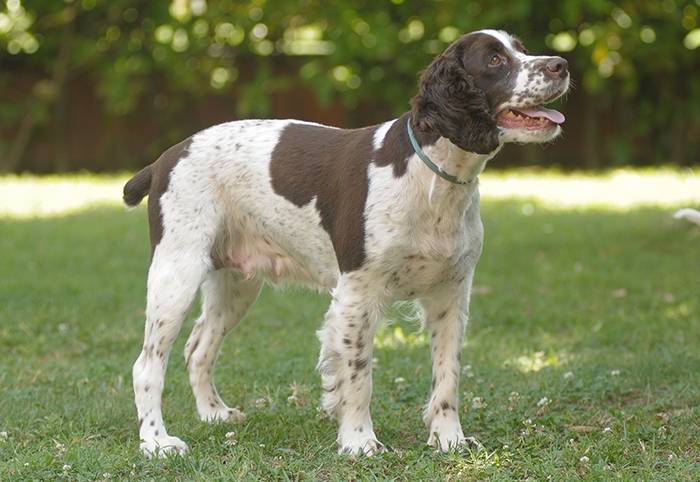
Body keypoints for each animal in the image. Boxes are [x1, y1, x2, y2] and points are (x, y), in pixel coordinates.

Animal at [121, 28, 568, 458]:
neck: (432, 178)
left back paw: (213, 413)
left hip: (235, 285)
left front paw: (449, 439)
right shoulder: (357, 293)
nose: (561, 64)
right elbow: (357, 375)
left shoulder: (451, 295)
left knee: (198, 348)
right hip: (176, 271)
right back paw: (157, 443)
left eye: (519, 49)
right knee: (146, 366)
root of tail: (162, 160)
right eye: (494, 60)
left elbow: (447, 378)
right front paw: (359, 441)